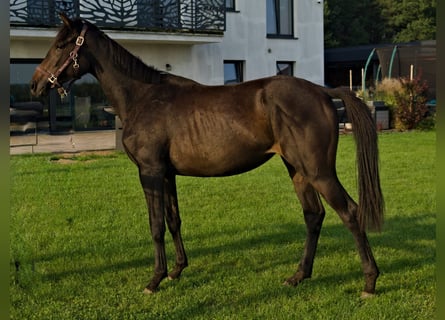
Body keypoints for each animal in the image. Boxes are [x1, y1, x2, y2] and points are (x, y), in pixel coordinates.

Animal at [32, 12, 386, 298]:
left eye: (61, 45)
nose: (35, 84)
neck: (143, 97)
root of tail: (323, 91)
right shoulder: (166, 174)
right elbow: (173, 220)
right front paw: (176, 271)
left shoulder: (149, 172)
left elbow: (156, 225)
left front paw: (155, 280)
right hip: (297, 169)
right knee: (313, 216)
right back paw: (298, 276)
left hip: (318, 171)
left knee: (351, 213)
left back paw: (369, 282)